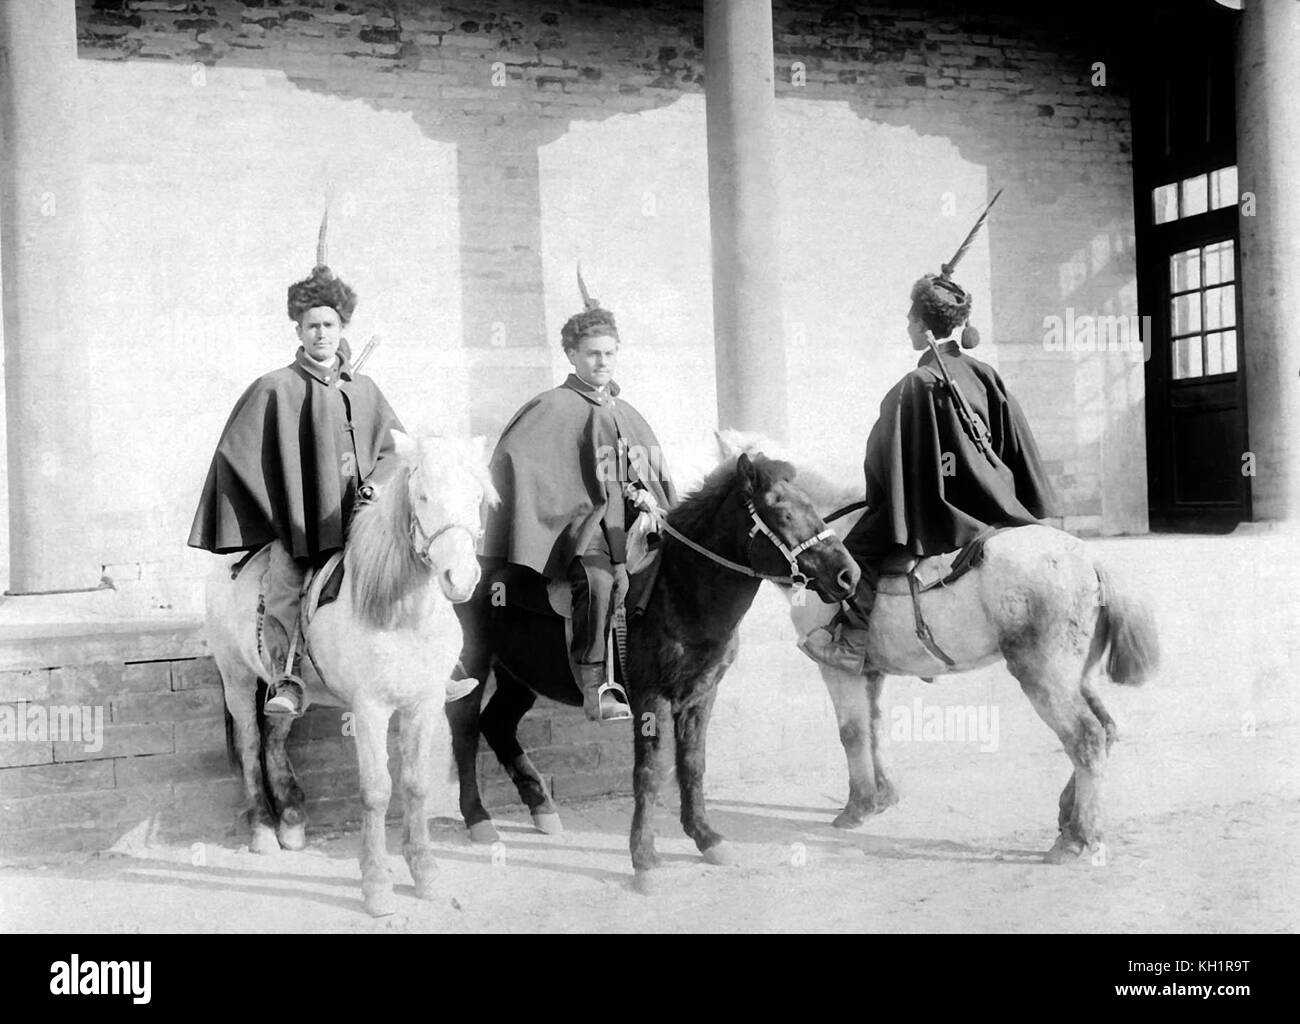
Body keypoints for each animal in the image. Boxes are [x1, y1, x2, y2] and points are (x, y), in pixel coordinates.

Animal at [205, 436, 493, 914]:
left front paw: (426, 875)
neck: (401, 612)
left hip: (285, 690)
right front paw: (376, 886)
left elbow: (416, 785)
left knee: (274, 736)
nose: (461, 578)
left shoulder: (425, 704)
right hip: (237, 679)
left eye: (478, 498)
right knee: (249, 744)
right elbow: (376, 790)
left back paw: (291, 819)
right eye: (422, 497)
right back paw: (263, 829)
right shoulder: (370, 708)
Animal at [441, 454, 857, 888]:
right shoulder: (651, 697)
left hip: (521, 674)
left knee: (498, 724)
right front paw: (643, 858)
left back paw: (541, 806)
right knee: (465, 730)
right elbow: (650, 772)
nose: (849, 575)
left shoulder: (700, 695)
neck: (680, 592)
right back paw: (478, 818)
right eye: (783, 511)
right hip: (475, 664)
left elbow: (692, 765)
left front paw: (705, 837)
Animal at [717, 428, 1164, 857]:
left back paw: (1077, 839)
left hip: (1044, 675)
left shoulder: (837, 669)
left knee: (1085, 738)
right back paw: (1070, 817)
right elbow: (875, 726)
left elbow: (852, 732)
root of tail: (1089, 558)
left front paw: (858, 807)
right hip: (1077, 676)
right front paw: (883, 796)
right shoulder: (869, 669)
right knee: (1105, 731)